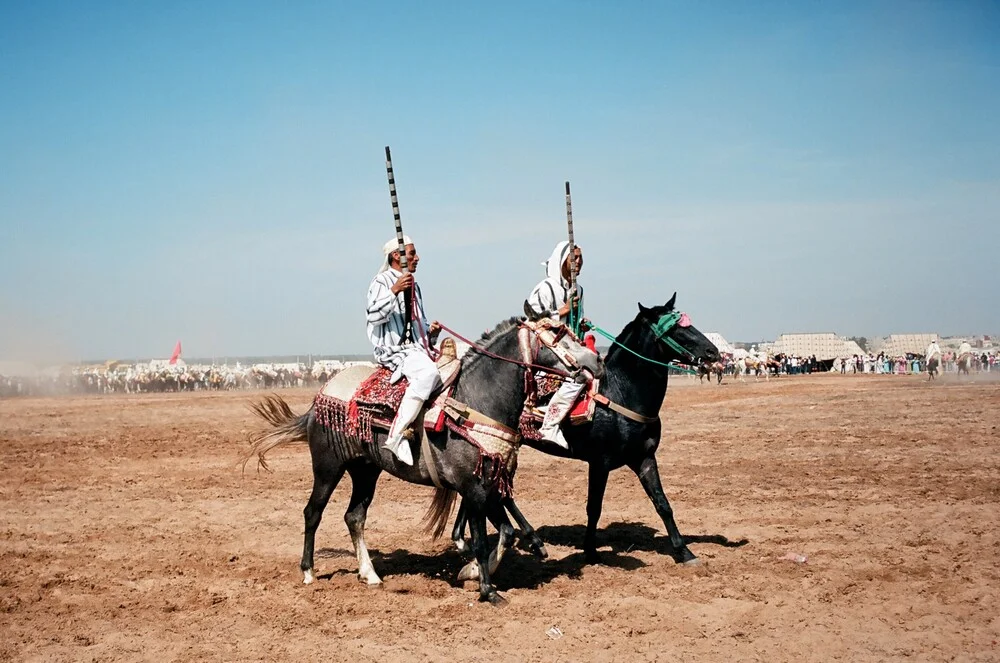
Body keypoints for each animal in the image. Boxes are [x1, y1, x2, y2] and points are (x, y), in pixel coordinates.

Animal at [242, 320, 600, 604]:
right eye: (557, 335)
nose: (596, 360)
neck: (475, 401)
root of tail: (319, 398)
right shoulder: (474, 490)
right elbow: (482, 540)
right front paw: (487, 590)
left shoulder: (489, 485)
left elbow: (507, 533)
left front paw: (471, 571)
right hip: (328, 468)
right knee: (312, 513)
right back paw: (308, 572)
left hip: (365, 471)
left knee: (354, 517)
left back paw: (369, 574)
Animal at [454, 296, 720, 572]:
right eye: (674, 328)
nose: (713, 352)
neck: (621, 393)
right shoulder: (600, 462)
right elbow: (595, 507)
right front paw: (591, 552)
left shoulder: (644, 458)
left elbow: (663, 504)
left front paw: (684, 552)